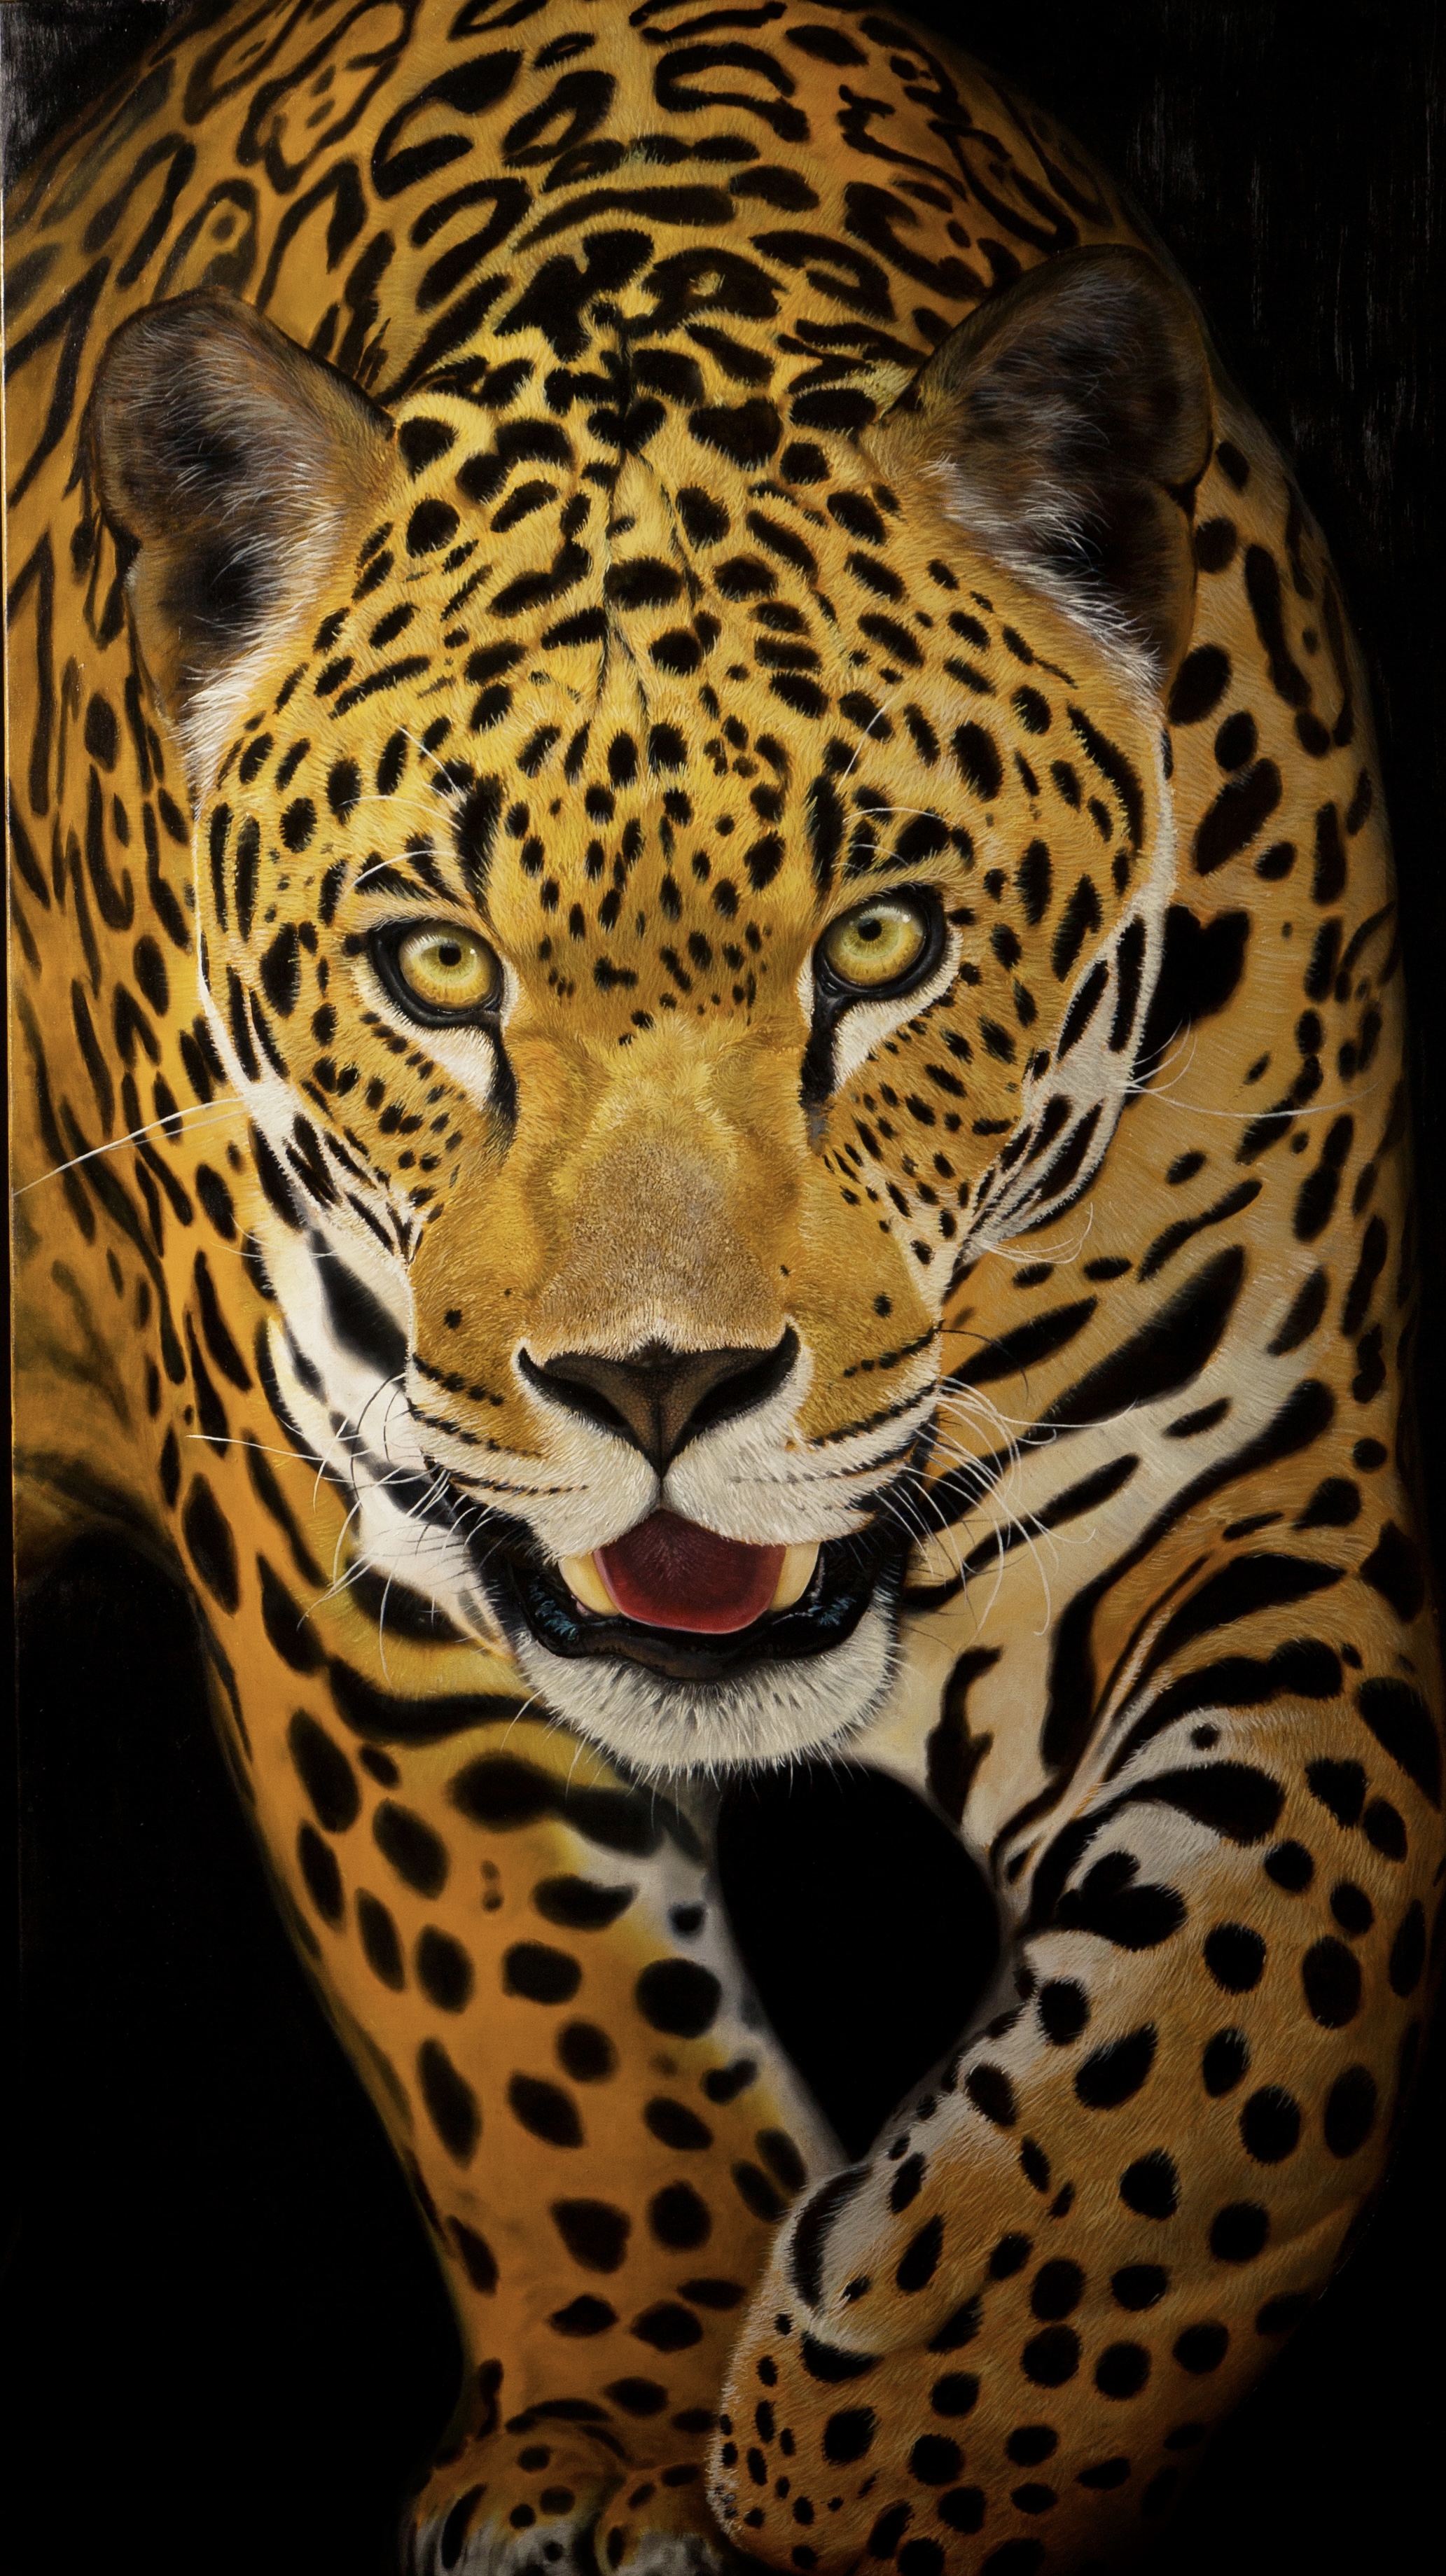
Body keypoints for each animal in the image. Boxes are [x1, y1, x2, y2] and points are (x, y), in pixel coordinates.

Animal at [7, 4, 1442, 2573]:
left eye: (881, 941)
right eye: (433, 966)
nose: (662, 1385)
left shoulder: (1253, 1480)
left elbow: (1240, 1994)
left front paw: (907, 2438)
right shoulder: (344, 1543)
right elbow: (537, 2000)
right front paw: (620, 2429)